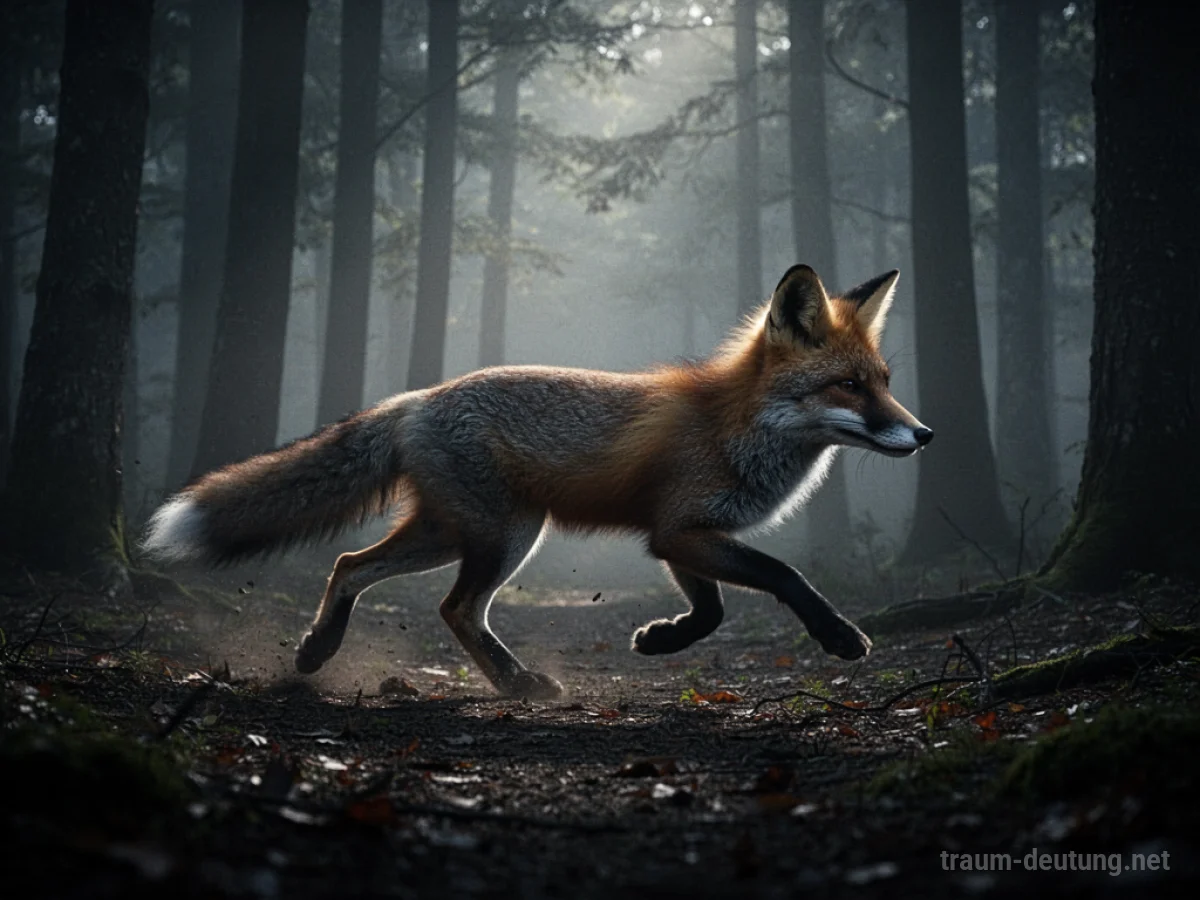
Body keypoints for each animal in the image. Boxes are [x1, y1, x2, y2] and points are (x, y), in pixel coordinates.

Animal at [143, 264, 931, 699]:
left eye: (884, 383)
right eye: (849, 386)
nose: (923, 435)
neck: (738, 425)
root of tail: (415, 399)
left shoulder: (680, 537)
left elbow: (710, 612)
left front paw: (661, 640)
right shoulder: (683, 529)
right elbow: (784, 576)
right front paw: (838, 637)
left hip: (448, 533)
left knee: (348, 565)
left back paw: (317, 650)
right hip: (505, 535)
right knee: (454, 609)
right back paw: (517, 684)